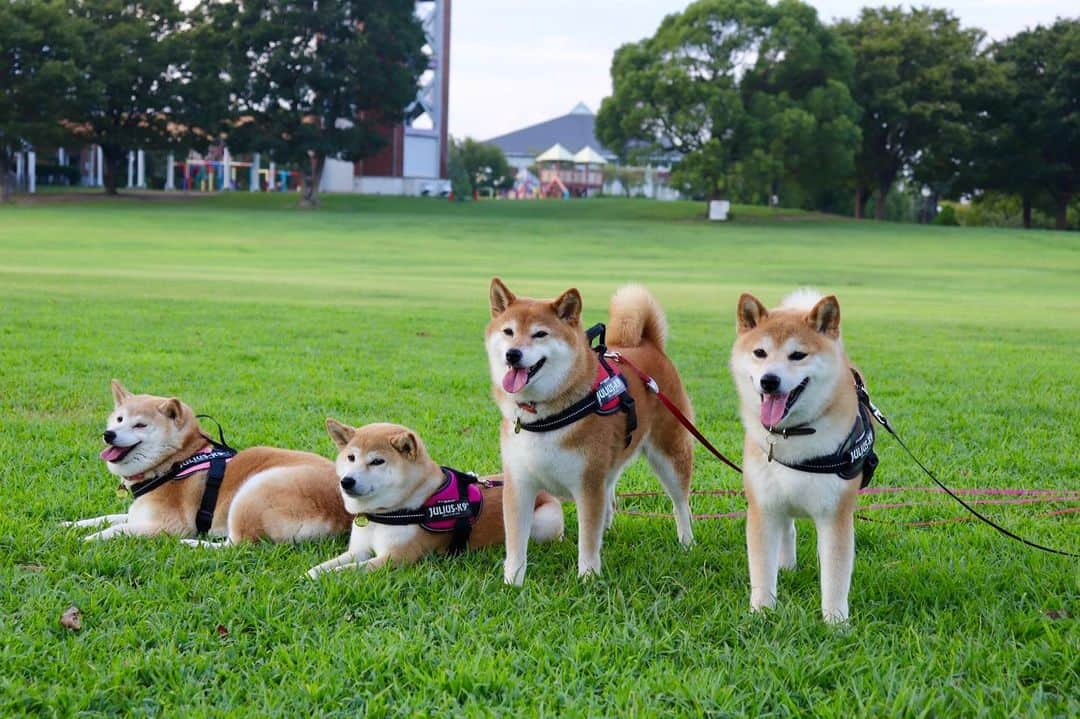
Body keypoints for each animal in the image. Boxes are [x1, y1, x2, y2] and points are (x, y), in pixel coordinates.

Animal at [63, 377, 352, 539]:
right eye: (119, 419)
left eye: (140, 425)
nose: (108, 434)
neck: (174, 462)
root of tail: (345, 513)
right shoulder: (138, 514)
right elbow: (107, 517)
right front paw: (70, 524)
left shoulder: (169, 524)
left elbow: (115, 529)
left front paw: (87, 539)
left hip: (253, 491)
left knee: (238, 545)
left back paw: (193, 544)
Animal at [302, 421, 557, 578]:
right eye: (351, 458)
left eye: (377, 461)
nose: (346, 481)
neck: (387, 513)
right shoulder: (358, 550)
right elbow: (329, 565)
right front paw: (310, 573)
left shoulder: (395, 558)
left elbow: (345, 570)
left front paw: (325, 578)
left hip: (542, 523)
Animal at [488, 276, 695, 587]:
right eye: (508, 331)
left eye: (540, 334)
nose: (513, 354)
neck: (546, 416)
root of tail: (649, 345)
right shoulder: (519, 484)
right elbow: (515, 541)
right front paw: (512, 582)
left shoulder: (587, 485)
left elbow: (587, 539)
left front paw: (587, 579)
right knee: (611, 487)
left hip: (669, 451)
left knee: (680, 502)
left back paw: (686, 540)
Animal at [734, 289, 876, 617]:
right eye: (760, 353)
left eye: (798, 355)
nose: (769, 380)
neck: (794, 435)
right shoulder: (764, 507)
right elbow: (761, 568)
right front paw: (761, 613)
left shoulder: (835, 513)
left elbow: (836, 574)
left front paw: (836, 621)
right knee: (788, 530)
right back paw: (786, 566)